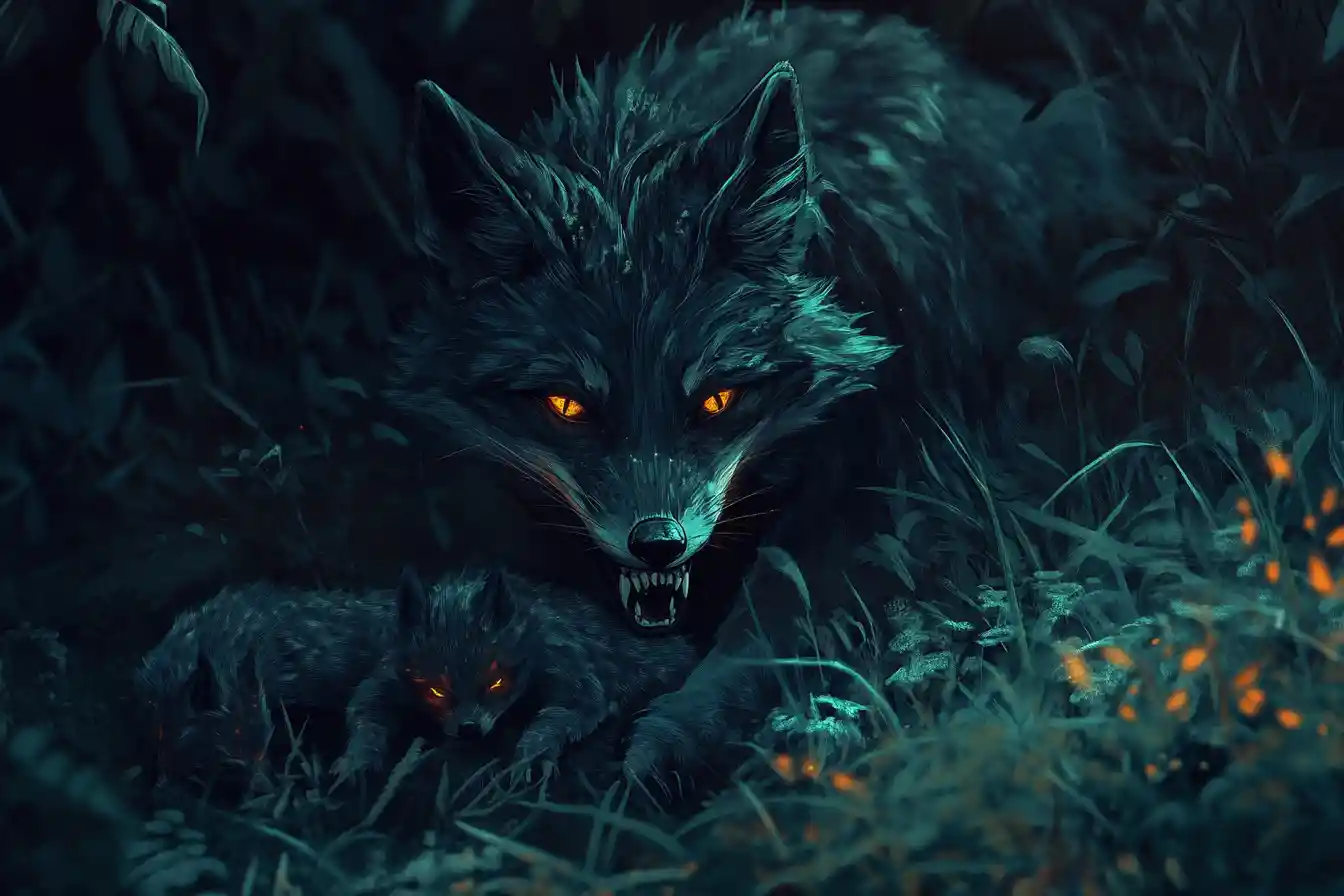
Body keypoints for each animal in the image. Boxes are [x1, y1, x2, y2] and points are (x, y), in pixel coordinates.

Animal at [333, 566, 698, 782]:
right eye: (435, 691)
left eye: (496, 683)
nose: (469, 730)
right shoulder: (388, 677)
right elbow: (366, 709)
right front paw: (358, 756)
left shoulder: (571, 669)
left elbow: (570, 710)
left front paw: (531, 755)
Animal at [388, 6, 1141, 784]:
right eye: (569, 408)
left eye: (717, 402)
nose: (658, 544)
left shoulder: (898, 477)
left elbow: (771, 624)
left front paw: (669, 738)